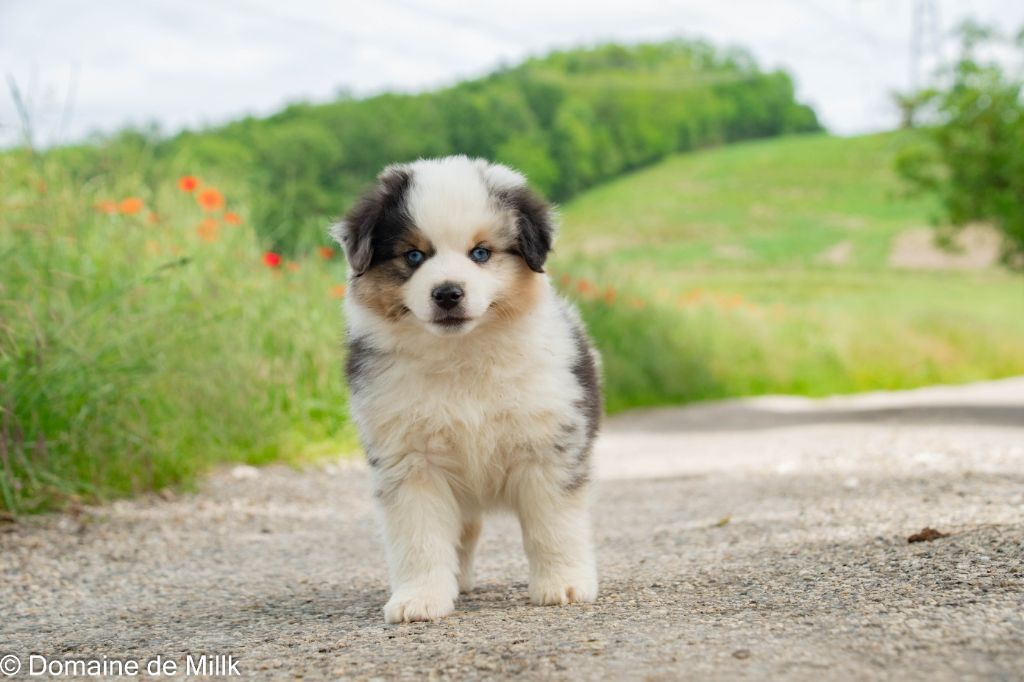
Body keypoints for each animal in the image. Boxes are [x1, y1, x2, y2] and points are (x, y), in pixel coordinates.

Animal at [330, 156, 601, 623]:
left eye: (481, 253)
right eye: (414, 255)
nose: (447, 293)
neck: (462, 356)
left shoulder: (547, 445)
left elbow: (553, 525)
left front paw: (563, 584)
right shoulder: (410, 459)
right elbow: (420, 537)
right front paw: (420, 599)